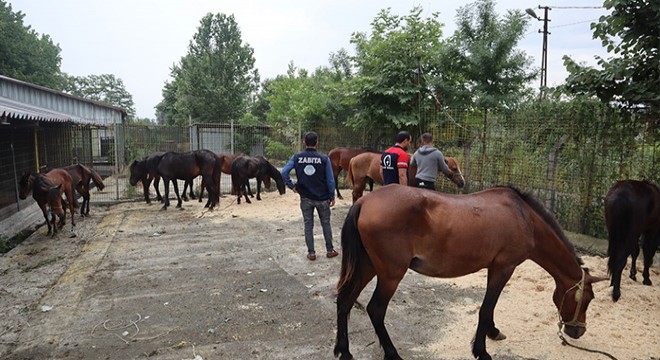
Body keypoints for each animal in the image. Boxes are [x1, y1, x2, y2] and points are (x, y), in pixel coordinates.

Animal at [336, 186, 608, 360]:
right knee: (375, 310)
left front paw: (493, 332)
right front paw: (481, 350)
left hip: (367, 267)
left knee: (344, 300)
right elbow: (486, 307)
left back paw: (344, 351)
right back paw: (392, 354)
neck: (524, 217)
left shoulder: (495, 268)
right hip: (390, 275)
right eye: (588, 299)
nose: (577, 331)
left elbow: (490, 307)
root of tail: (363, 202)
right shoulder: (504, 268)